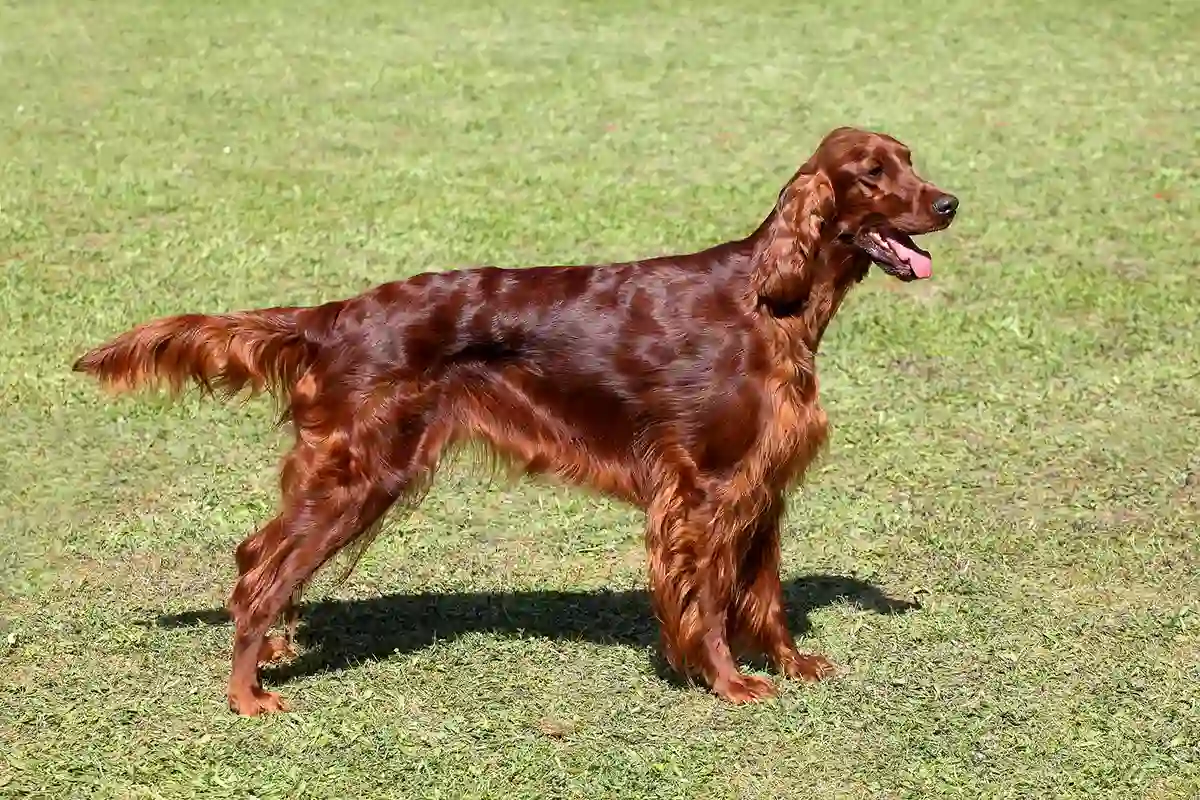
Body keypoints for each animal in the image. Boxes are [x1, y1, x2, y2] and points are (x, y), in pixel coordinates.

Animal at [72, 128, 955, 714]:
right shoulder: (705, 487)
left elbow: (764, 594)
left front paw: (790, 665)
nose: (950, 202)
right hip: (361, 471)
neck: (771, 302)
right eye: (872, 172)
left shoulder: (762, 485)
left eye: (910, 160)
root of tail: (337, 315)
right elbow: (705, 599)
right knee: (260, 567)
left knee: (261, 555)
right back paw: (247, 695)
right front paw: (728, 681)